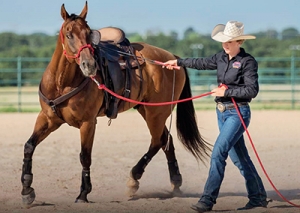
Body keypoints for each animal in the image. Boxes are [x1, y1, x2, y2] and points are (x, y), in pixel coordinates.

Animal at [20, 1, 211, 205]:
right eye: (69, 34)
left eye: (89, 33)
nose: (89, 65)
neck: (62, 83)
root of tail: (172, 58)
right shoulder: (48, 119)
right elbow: (29, 146)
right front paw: (26, 190)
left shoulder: (88, 123)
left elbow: (85, 156)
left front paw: (83, 194)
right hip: (148, 110)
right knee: (165, 140)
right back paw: (175, 182)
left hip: (157, 113)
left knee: (157, 141)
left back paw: (133, 180)